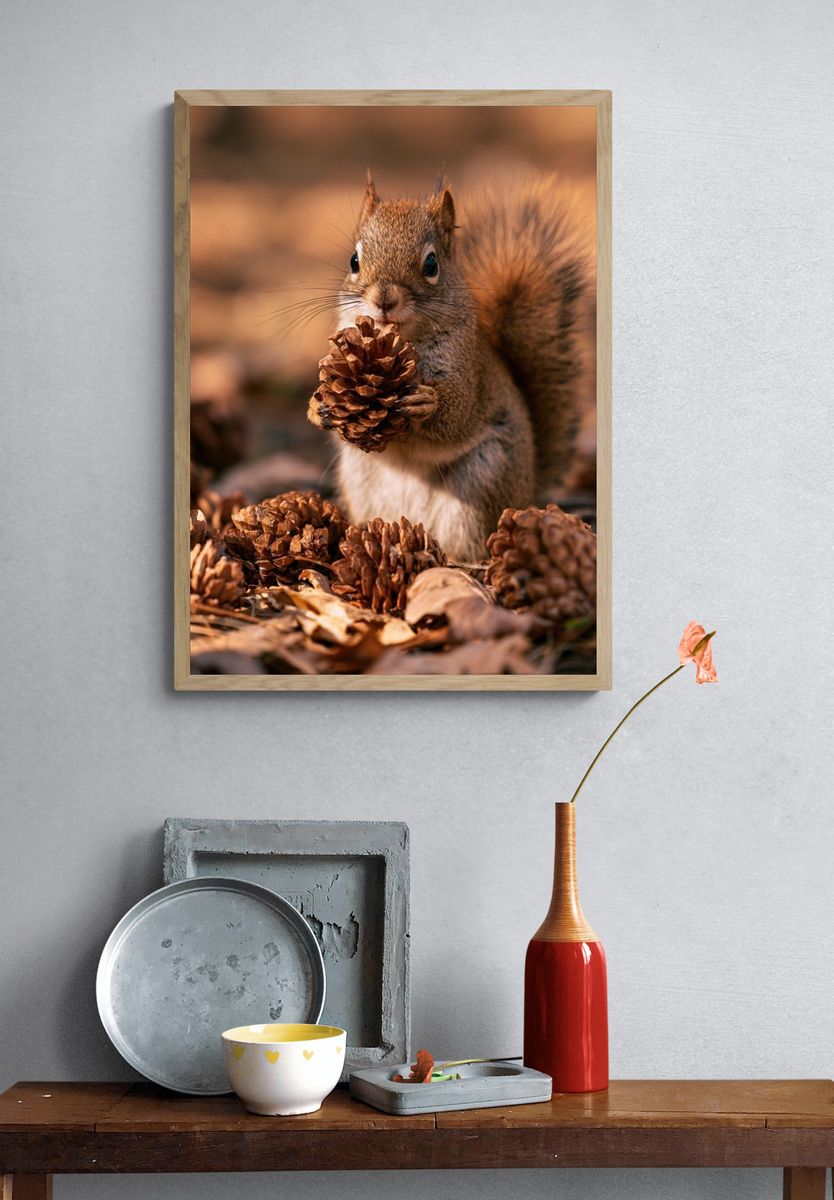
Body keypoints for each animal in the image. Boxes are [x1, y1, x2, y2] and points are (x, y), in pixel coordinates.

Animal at [308, 172, 595, 562]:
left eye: (431, 265)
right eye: (354, 260)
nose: (384, 299)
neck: (403, 340)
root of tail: (527, 493)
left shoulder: (469, 371)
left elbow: (457, 414)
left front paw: (425, 404)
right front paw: (316, 407)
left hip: (482, 480)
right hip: (360, 474)